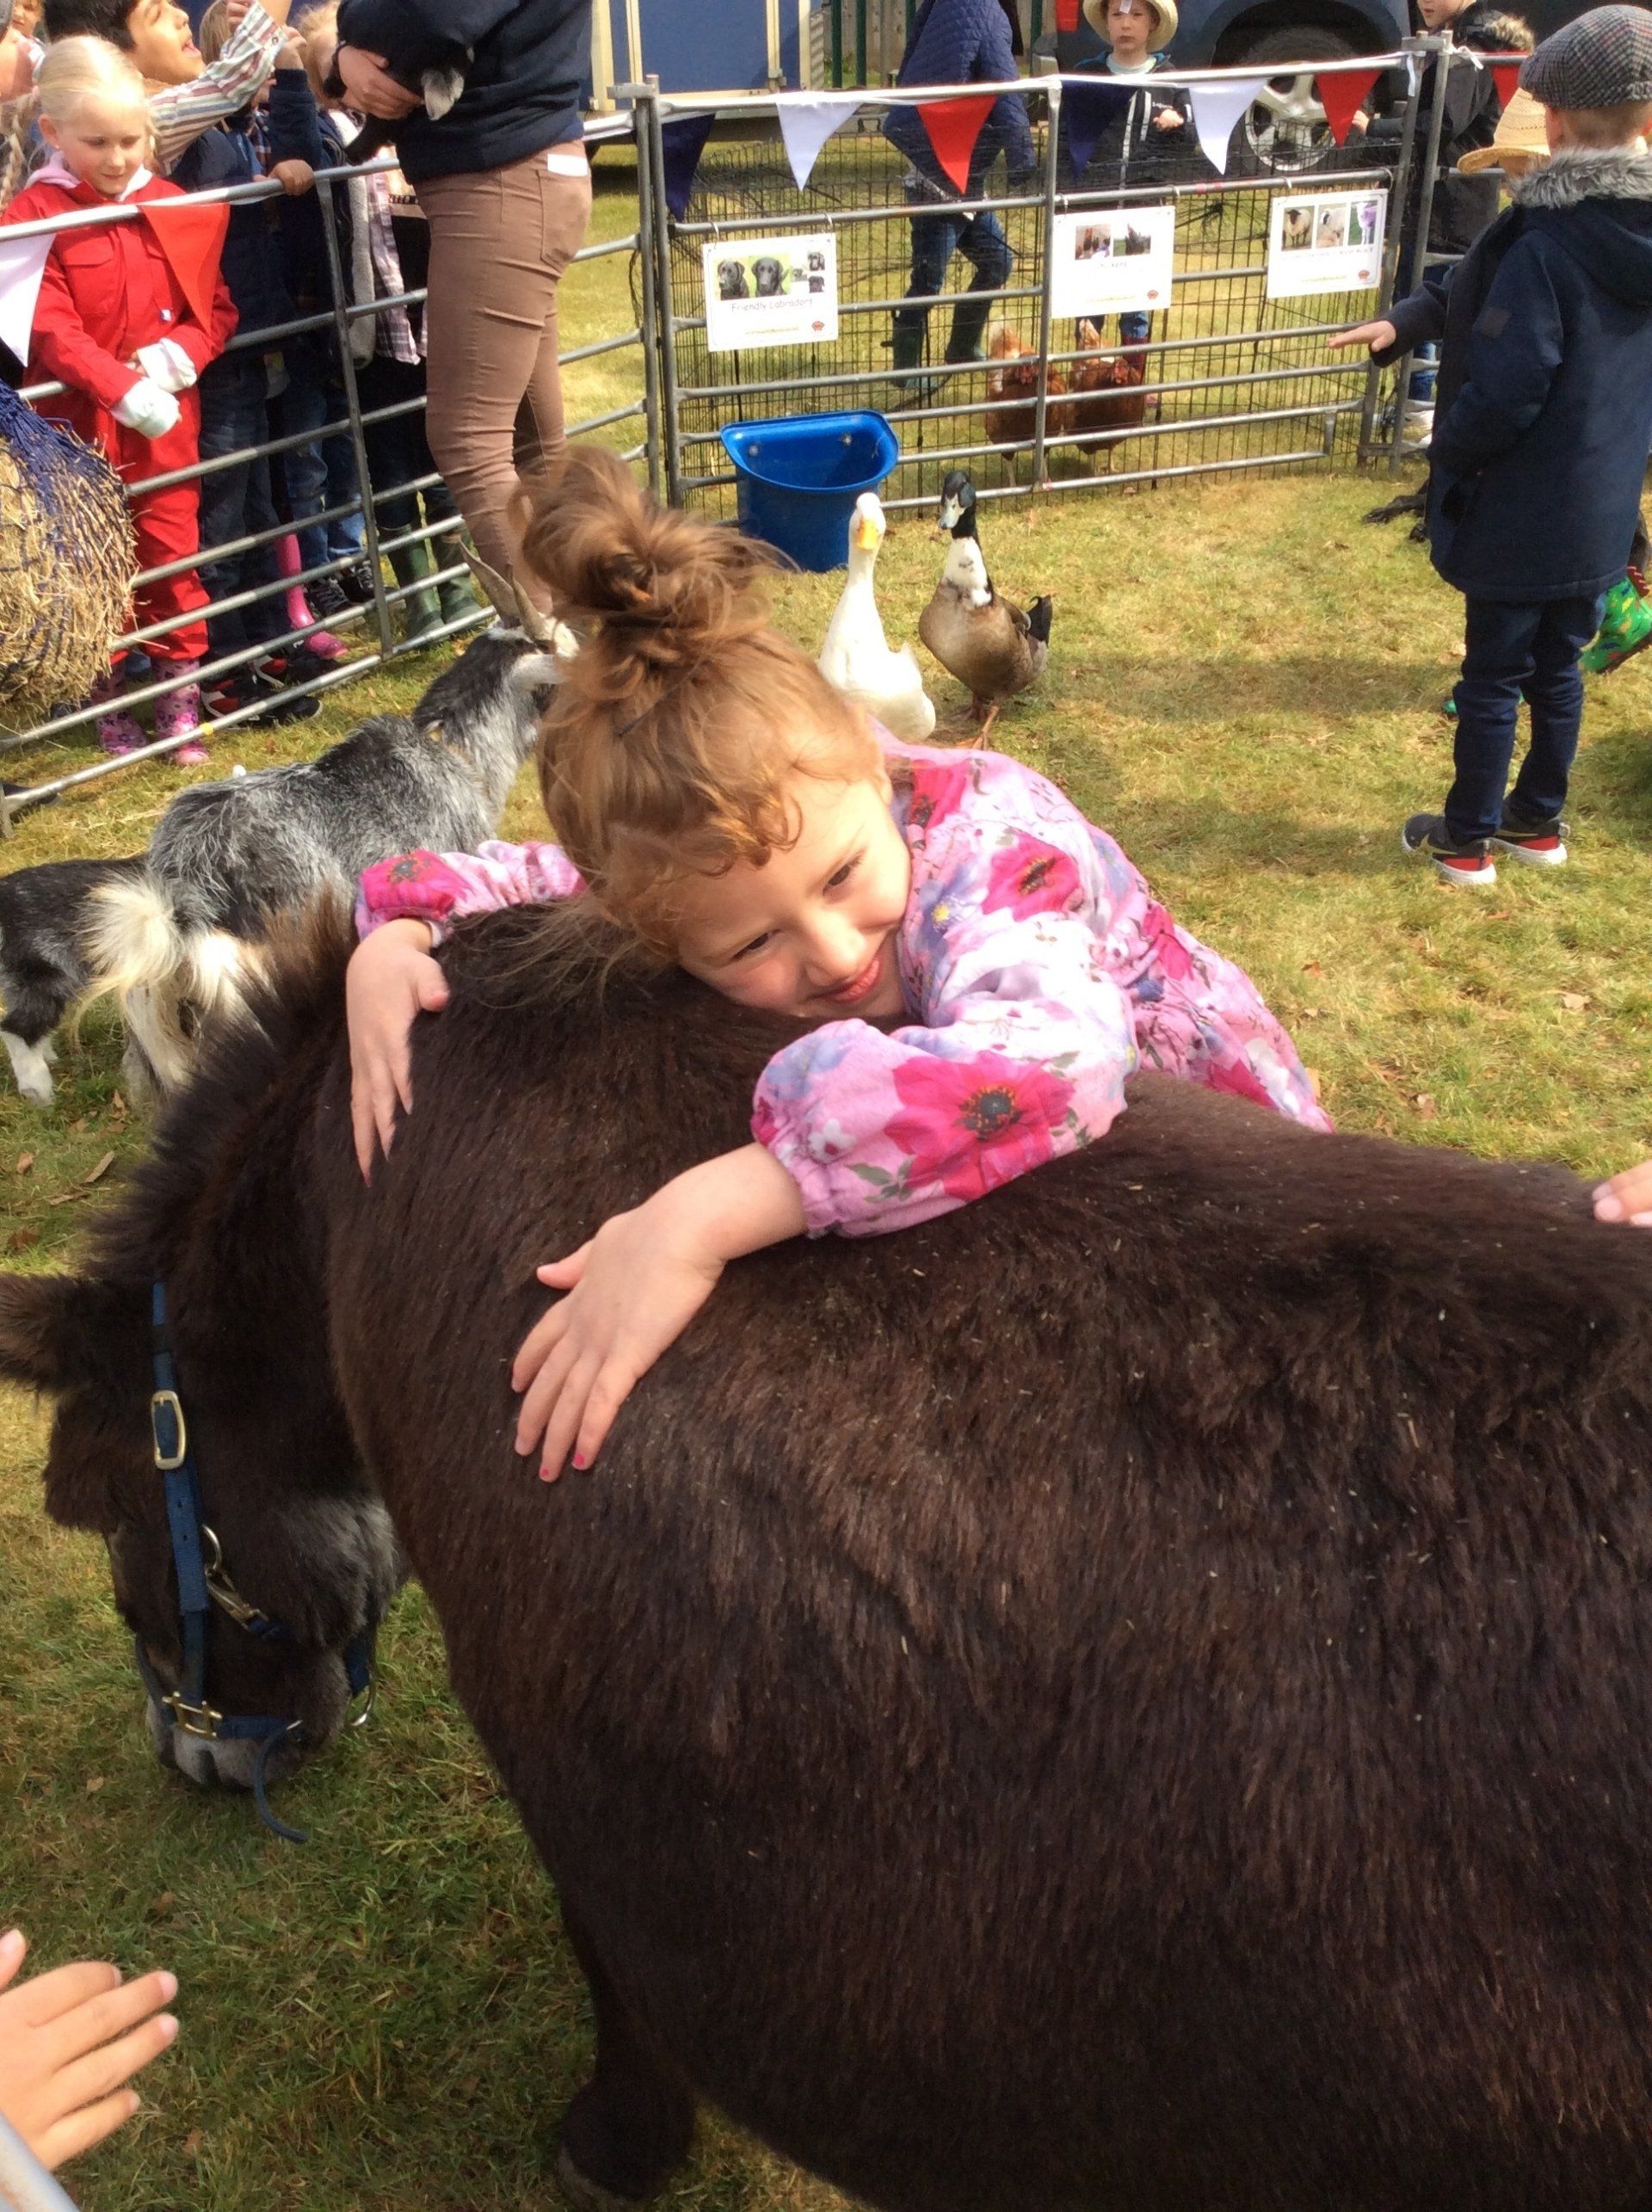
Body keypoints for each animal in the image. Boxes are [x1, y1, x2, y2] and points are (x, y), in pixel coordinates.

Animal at [4, 900, 1652, 2212]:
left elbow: (616, 1986)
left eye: (98, 1518)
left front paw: (608, 2150)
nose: (190, 1760)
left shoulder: (574, 1774)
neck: (354, 1181)